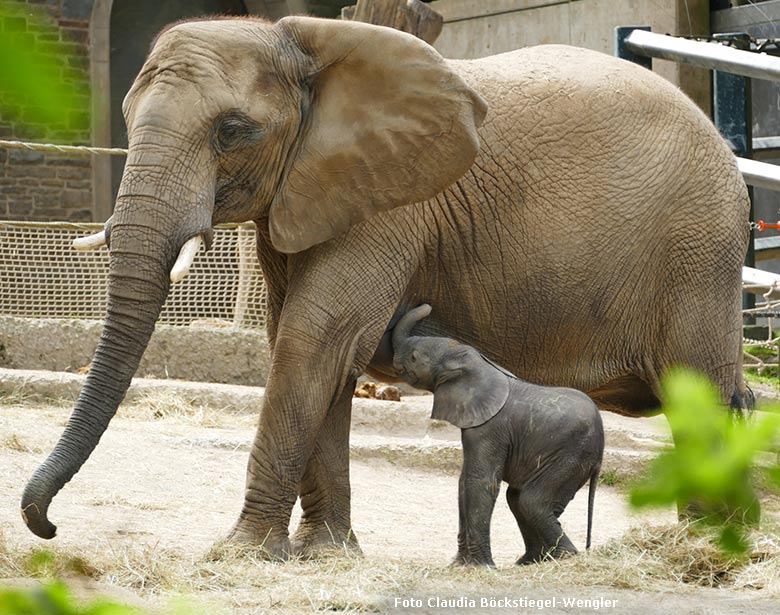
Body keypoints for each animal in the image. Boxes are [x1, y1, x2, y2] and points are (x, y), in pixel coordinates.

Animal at [394, 306, 608, 564]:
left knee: (531, 502)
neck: (480, 365)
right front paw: (459, 565)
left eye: (414, 357)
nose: (427, 307)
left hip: (570, 457)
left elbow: (481, 481)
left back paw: (565, 557)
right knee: (518, 499)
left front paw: (479, 566)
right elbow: (464, 482)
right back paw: (533, 561)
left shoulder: (490, 429)